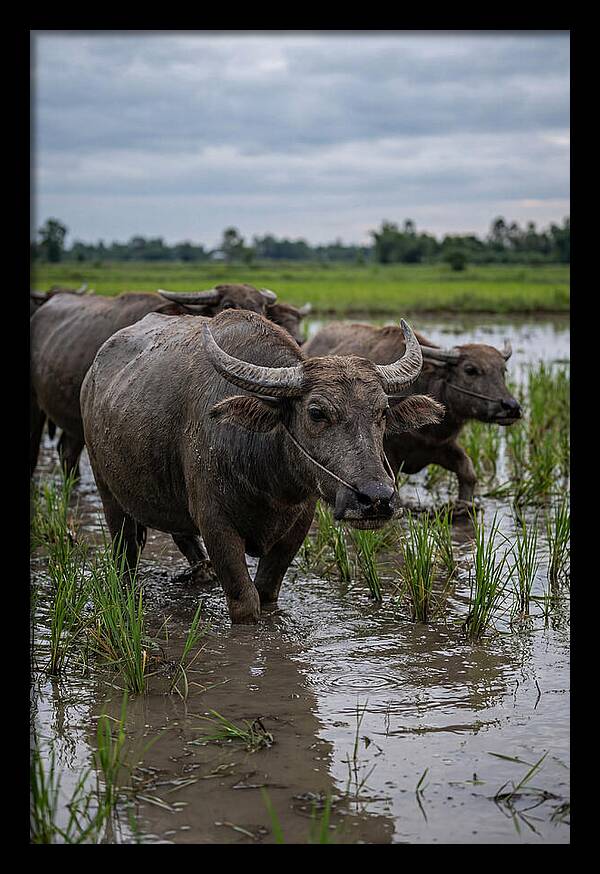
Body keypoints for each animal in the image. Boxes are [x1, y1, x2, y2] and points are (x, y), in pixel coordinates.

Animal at [80, 311, 443, 623]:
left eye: (382, 411)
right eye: (316, 413)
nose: (376, 498)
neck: (269, 480)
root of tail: (92, 376)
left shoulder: (298, 525)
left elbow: (267, 594)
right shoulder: (216, 525)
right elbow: (246, 603)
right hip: (107, 490)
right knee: (125, 552)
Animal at [304, 322, 521, 508]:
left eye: (503, 370)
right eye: (470, 370)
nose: (511, 407)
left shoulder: (441, 446)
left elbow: (468, 472)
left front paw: (464, 506)